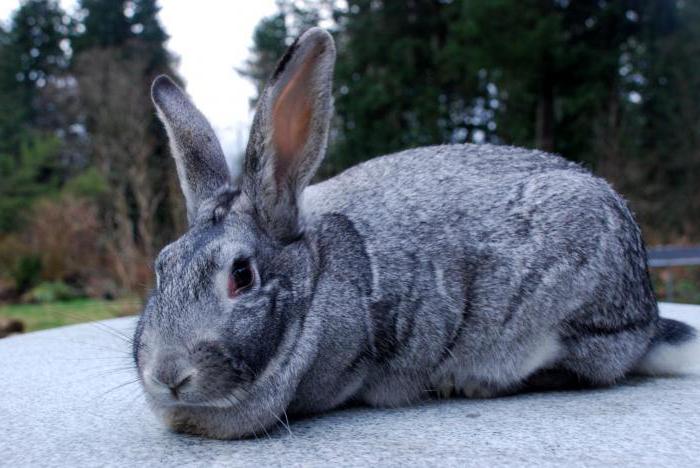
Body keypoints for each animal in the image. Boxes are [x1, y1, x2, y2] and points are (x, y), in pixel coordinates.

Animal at [134, 26, 696, 438]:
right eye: (161, 268)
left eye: (242, 276)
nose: (168, 375)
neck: (315, 283)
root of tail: (647, 311)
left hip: (573, 311)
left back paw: (465, 383)